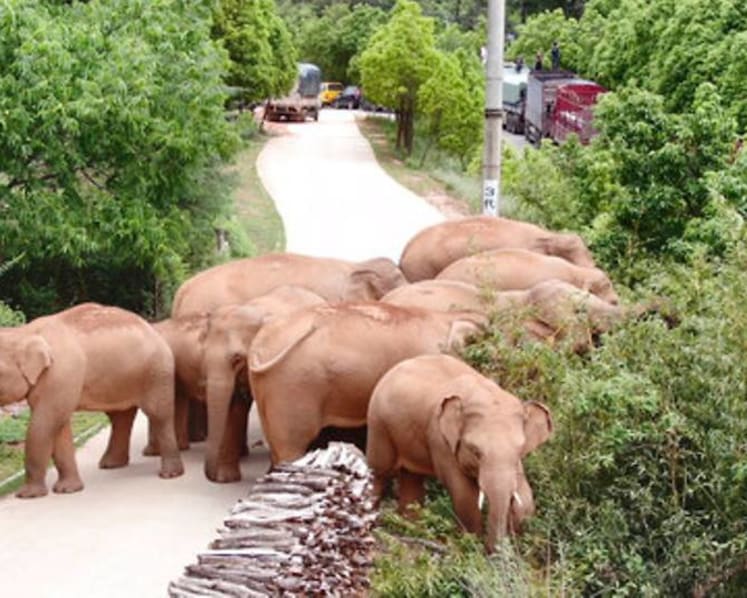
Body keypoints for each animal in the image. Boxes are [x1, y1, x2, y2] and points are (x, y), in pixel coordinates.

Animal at [0, 303, 183, 498]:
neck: (24, 331)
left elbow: (45, 423)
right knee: (120, 418)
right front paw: (68, 490)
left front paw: (28, 495)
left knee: (158, 415)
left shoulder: (61, 374)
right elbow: (59, 426)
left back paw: (170, 474)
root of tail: (154, 329)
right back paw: (111, 465)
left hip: (158, 371)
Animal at [154, 286, 327, 482]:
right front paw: (225, 479)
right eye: (203, 354)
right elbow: (234, 407)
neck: (255, 311)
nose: (210, 476)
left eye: (237, 359)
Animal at [366, 353, 553, 551]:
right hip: (378, 423)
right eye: (476, 452)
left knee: (411, 476)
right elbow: (465, 494)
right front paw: (471, 544)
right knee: (379, 472)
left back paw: (412, 529)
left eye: (519, 451)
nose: (494, 550)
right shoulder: (439, 439)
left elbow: (526, 497)